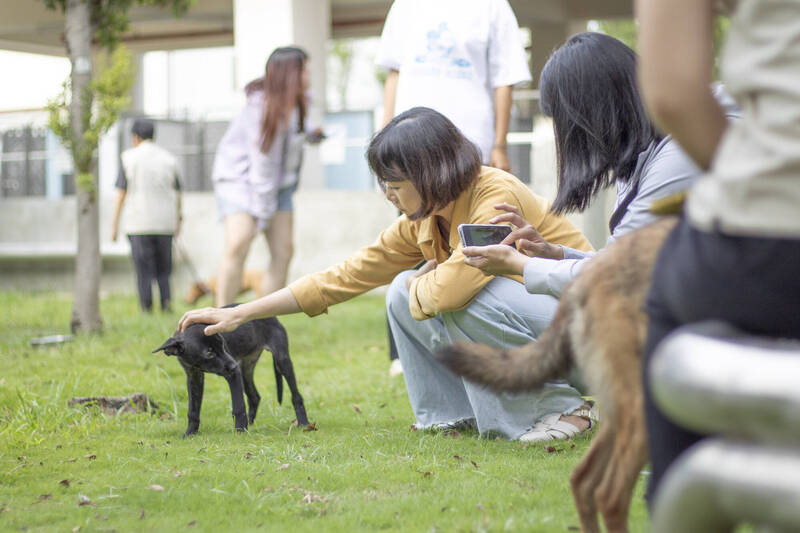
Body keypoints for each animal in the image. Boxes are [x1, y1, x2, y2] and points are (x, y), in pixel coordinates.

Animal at [153, 308, 310, 436]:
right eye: (209, 353)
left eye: (222, 343)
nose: (234, 365)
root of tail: (272, 317)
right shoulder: (194, 376)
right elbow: (193, 409)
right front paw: (190, 433)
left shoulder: (233, 375)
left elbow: (238, 406)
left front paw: (240, 432)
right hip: (246, 368)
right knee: (255, 396)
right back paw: (251, 423)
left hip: (281, 361)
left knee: (296, 396)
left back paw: (303, 423)